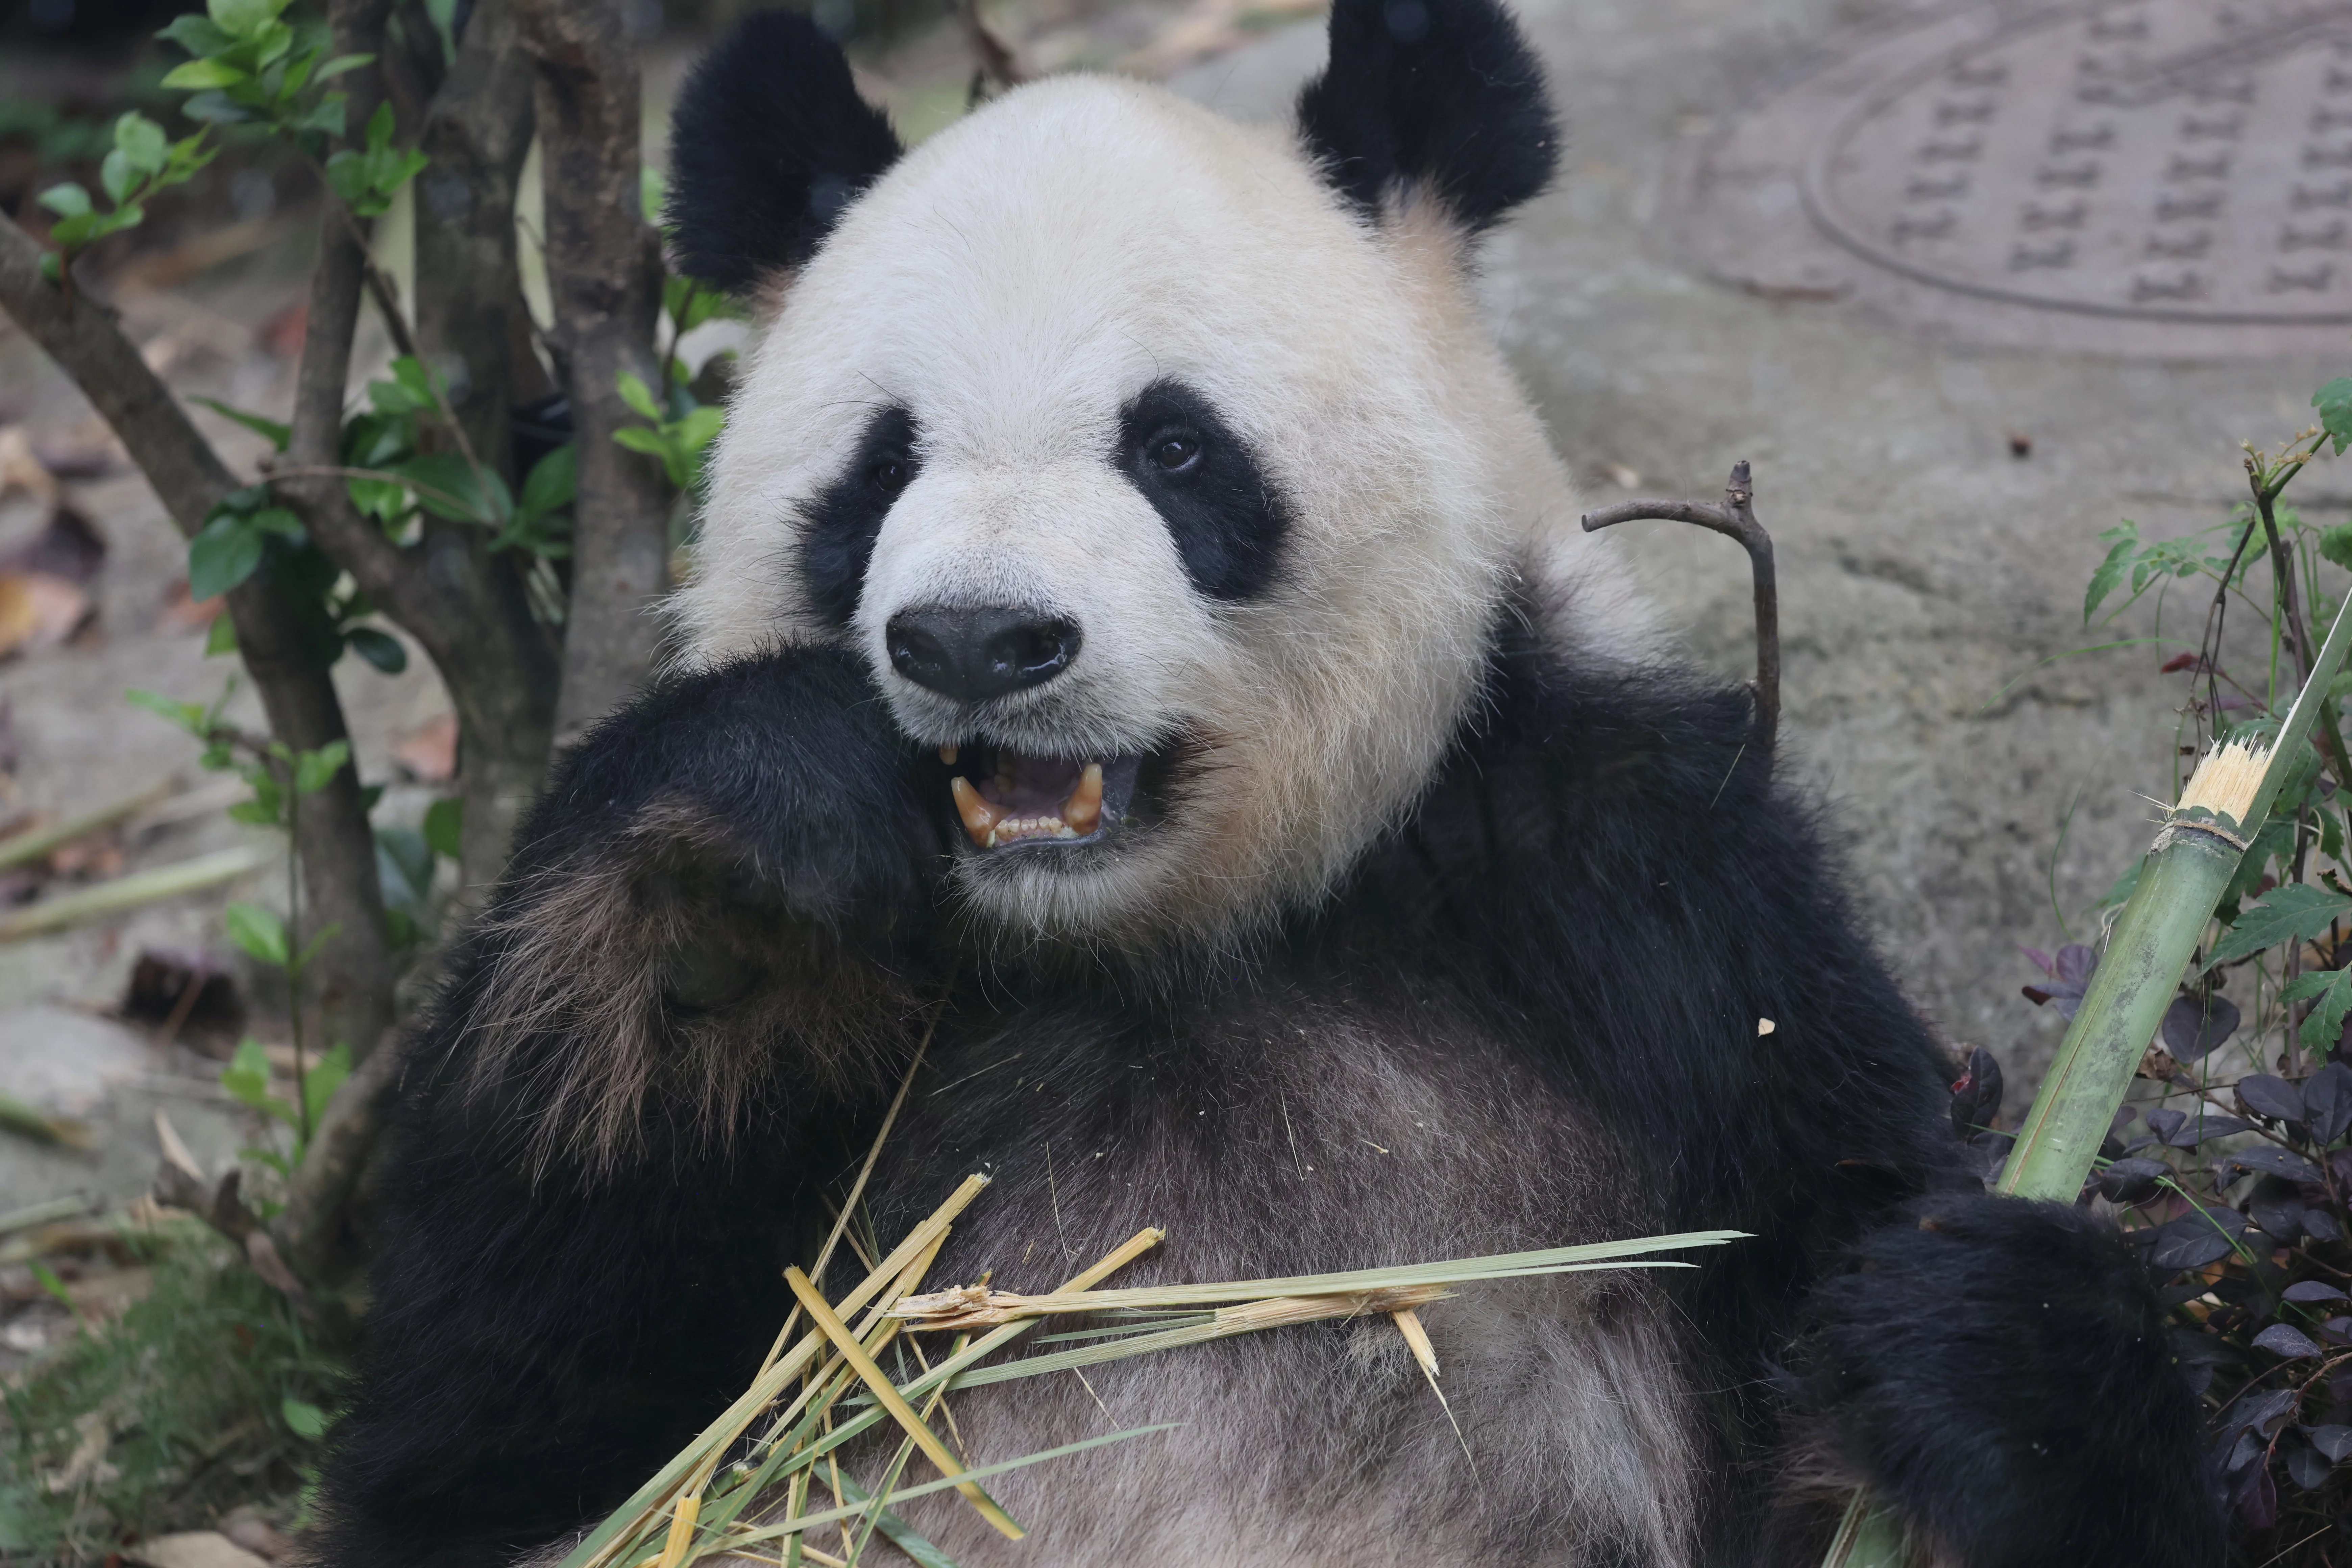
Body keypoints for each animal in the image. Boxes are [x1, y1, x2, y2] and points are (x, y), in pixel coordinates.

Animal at [308, 4, 2222, 1566]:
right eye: (881, 466)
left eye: (1174, 448)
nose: (976, 638)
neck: (1153, 945)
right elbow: (493, 1439)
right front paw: (739, 888)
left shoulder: (1627, 900)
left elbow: (1856, 1255)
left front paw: (1987, 1346)